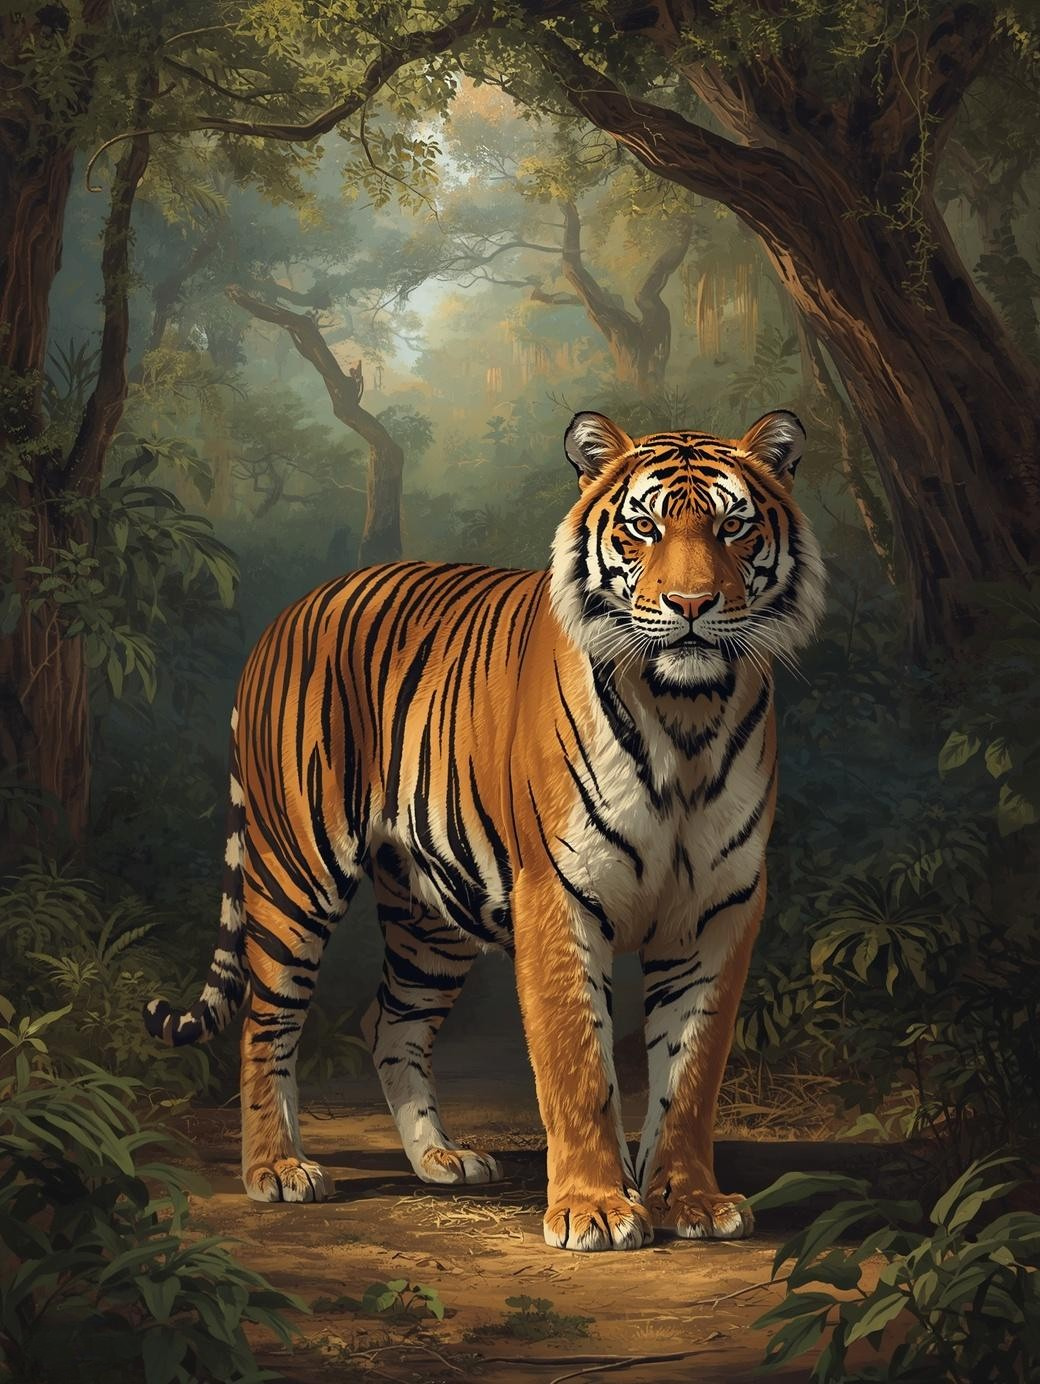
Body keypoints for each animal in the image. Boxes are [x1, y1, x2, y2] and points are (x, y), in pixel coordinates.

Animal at [145, 407, 823, 1252]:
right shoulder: (558, 892)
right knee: (266, 1021)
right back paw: (276, 1169)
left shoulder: (719, 909)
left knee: (389, 1021)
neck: (686, 715)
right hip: (296, 873)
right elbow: (577, 1062)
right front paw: (595, 1209)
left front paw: (689, 1201)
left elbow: (691, 1069)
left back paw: (441, 1158)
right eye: (643, 528)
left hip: (430, 915)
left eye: (734, 527)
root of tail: (288, 614)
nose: (692, 604)